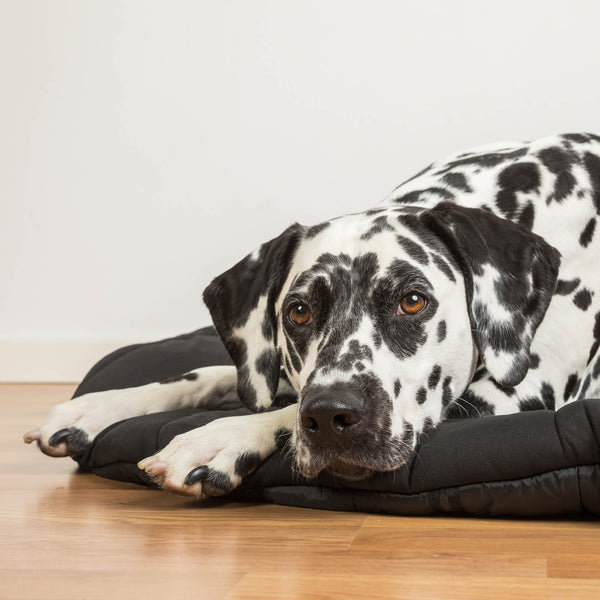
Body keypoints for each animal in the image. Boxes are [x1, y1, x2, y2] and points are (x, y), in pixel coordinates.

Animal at [23, 134, 600, 500]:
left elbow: (280, 412)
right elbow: (210, 374)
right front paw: (99, 406)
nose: (328, 418)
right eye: (298, 311)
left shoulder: (512, 394)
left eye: (413, 301)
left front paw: (217, 437)